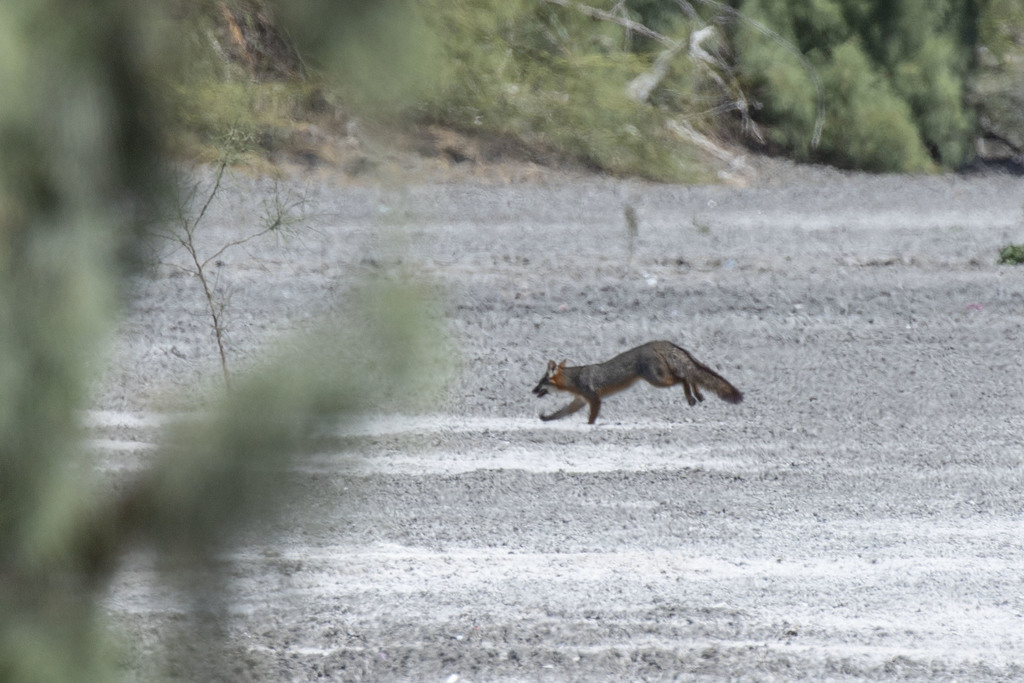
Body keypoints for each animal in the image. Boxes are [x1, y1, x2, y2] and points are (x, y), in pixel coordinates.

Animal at [532, 340, 742, 424]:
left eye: (540, 383)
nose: (532, 391)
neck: (574, 378)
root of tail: (655, 343)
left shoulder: (594, 399)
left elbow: (591, 417)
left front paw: (589, 426)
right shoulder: (580, 400)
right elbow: (561, 413)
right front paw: (546, 418)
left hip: (658, 380)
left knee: (685, 377)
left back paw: (692, 397)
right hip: (660, 377)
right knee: (688, 375)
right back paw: (697, 395)